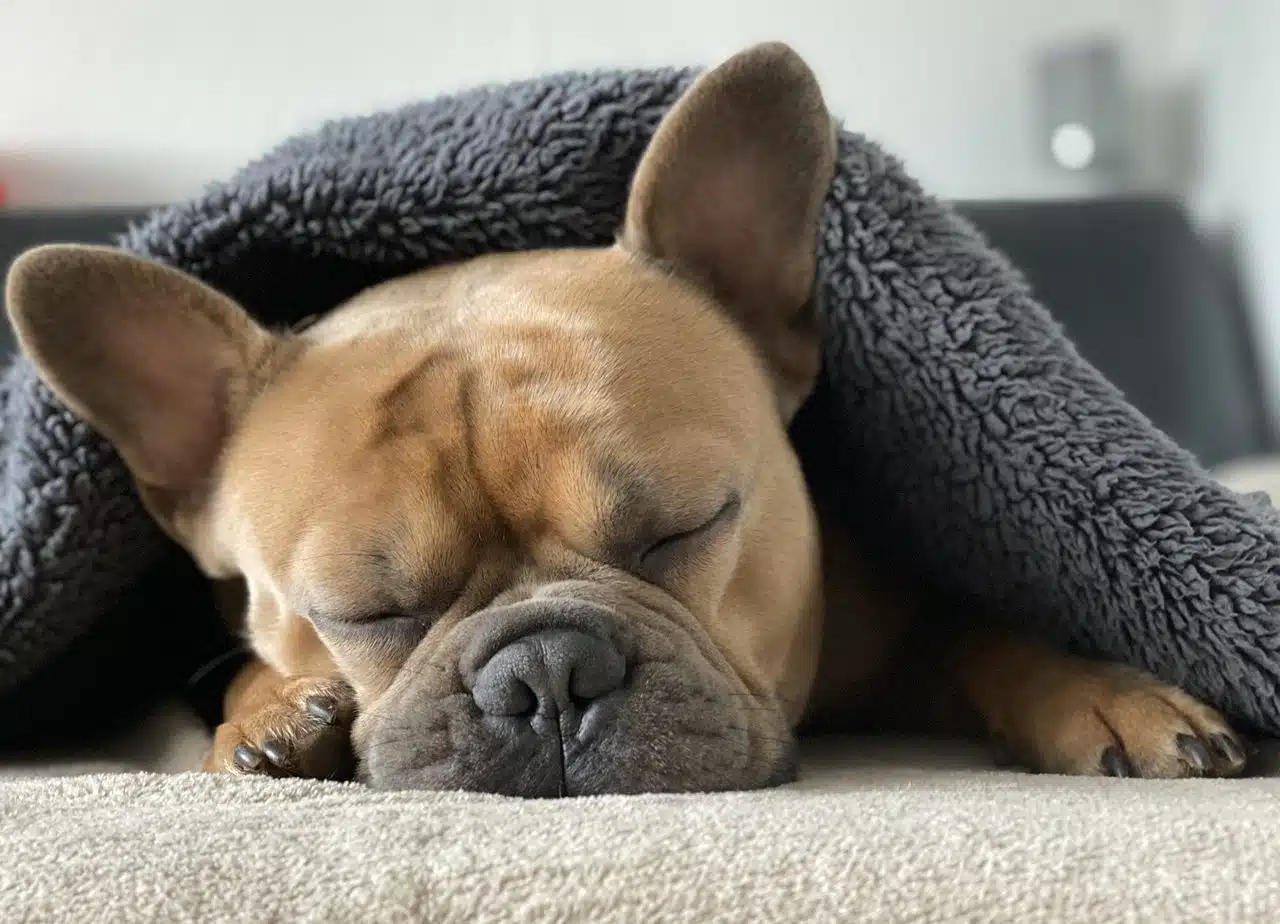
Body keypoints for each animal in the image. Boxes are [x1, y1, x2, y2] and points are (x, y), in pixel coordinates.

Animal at [0, 43, 1239, 793]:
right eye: (362, 610)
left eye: (687, 528)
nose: (544, 672)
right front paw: (269, 714)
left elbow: (985, 628)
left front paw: (1103, 691)